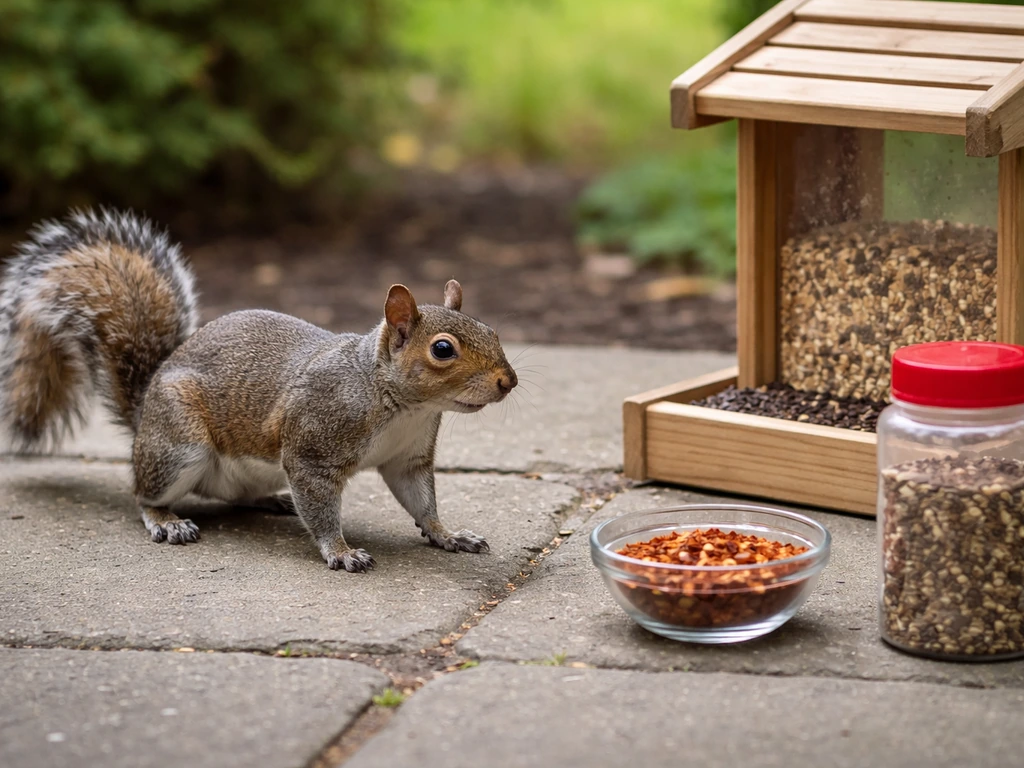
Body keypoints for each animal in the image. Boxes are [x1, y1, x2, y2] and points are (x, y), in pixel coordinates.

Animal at [0, 208, 518, 572]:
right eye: (443, 349)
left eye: (492, 330)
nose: (508, 382)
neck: (402, 405)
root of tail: (145, 409)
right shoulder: (313, 447)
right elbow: (322, 509)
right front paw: (341, 551)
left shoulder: (408, 457)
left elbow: (422, 502)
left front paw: (449, 534)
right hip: (179, 444)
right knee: (143, 493)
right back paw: (166, 520)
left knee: (234, 495)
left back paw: (273, 500)